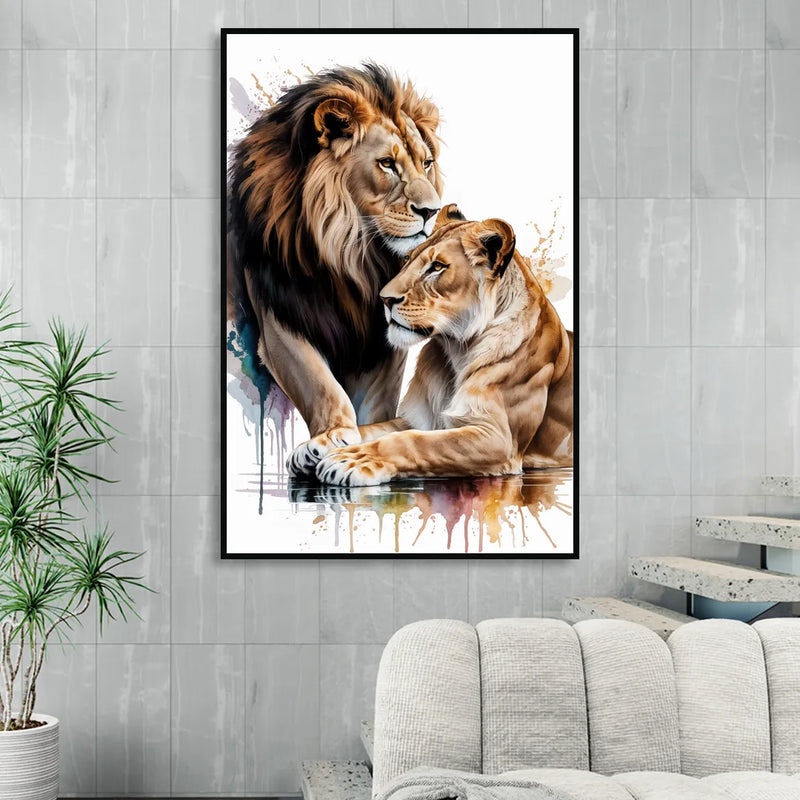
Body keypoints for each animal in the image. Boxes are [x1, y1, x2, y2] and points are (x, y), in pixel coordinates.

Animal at [227, 64, 443, 475]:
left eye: (426, 164)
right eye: (387, 164)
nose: (432, 210)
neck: (351, 257)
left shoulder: (382, 338)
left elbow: (376, 403)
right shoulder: (279, 317)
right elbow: (319, 385)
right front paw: (331, 436)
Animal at [315, 207, 573, 486]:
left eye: (437, 267)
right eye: (407, 259)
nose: (384, 299)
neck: (456, 352)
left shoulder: (499, 438)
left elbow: (415, 442)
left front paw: (353, 459)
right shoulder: (418, 418)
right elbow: (375, 429)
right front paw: (321, 443)